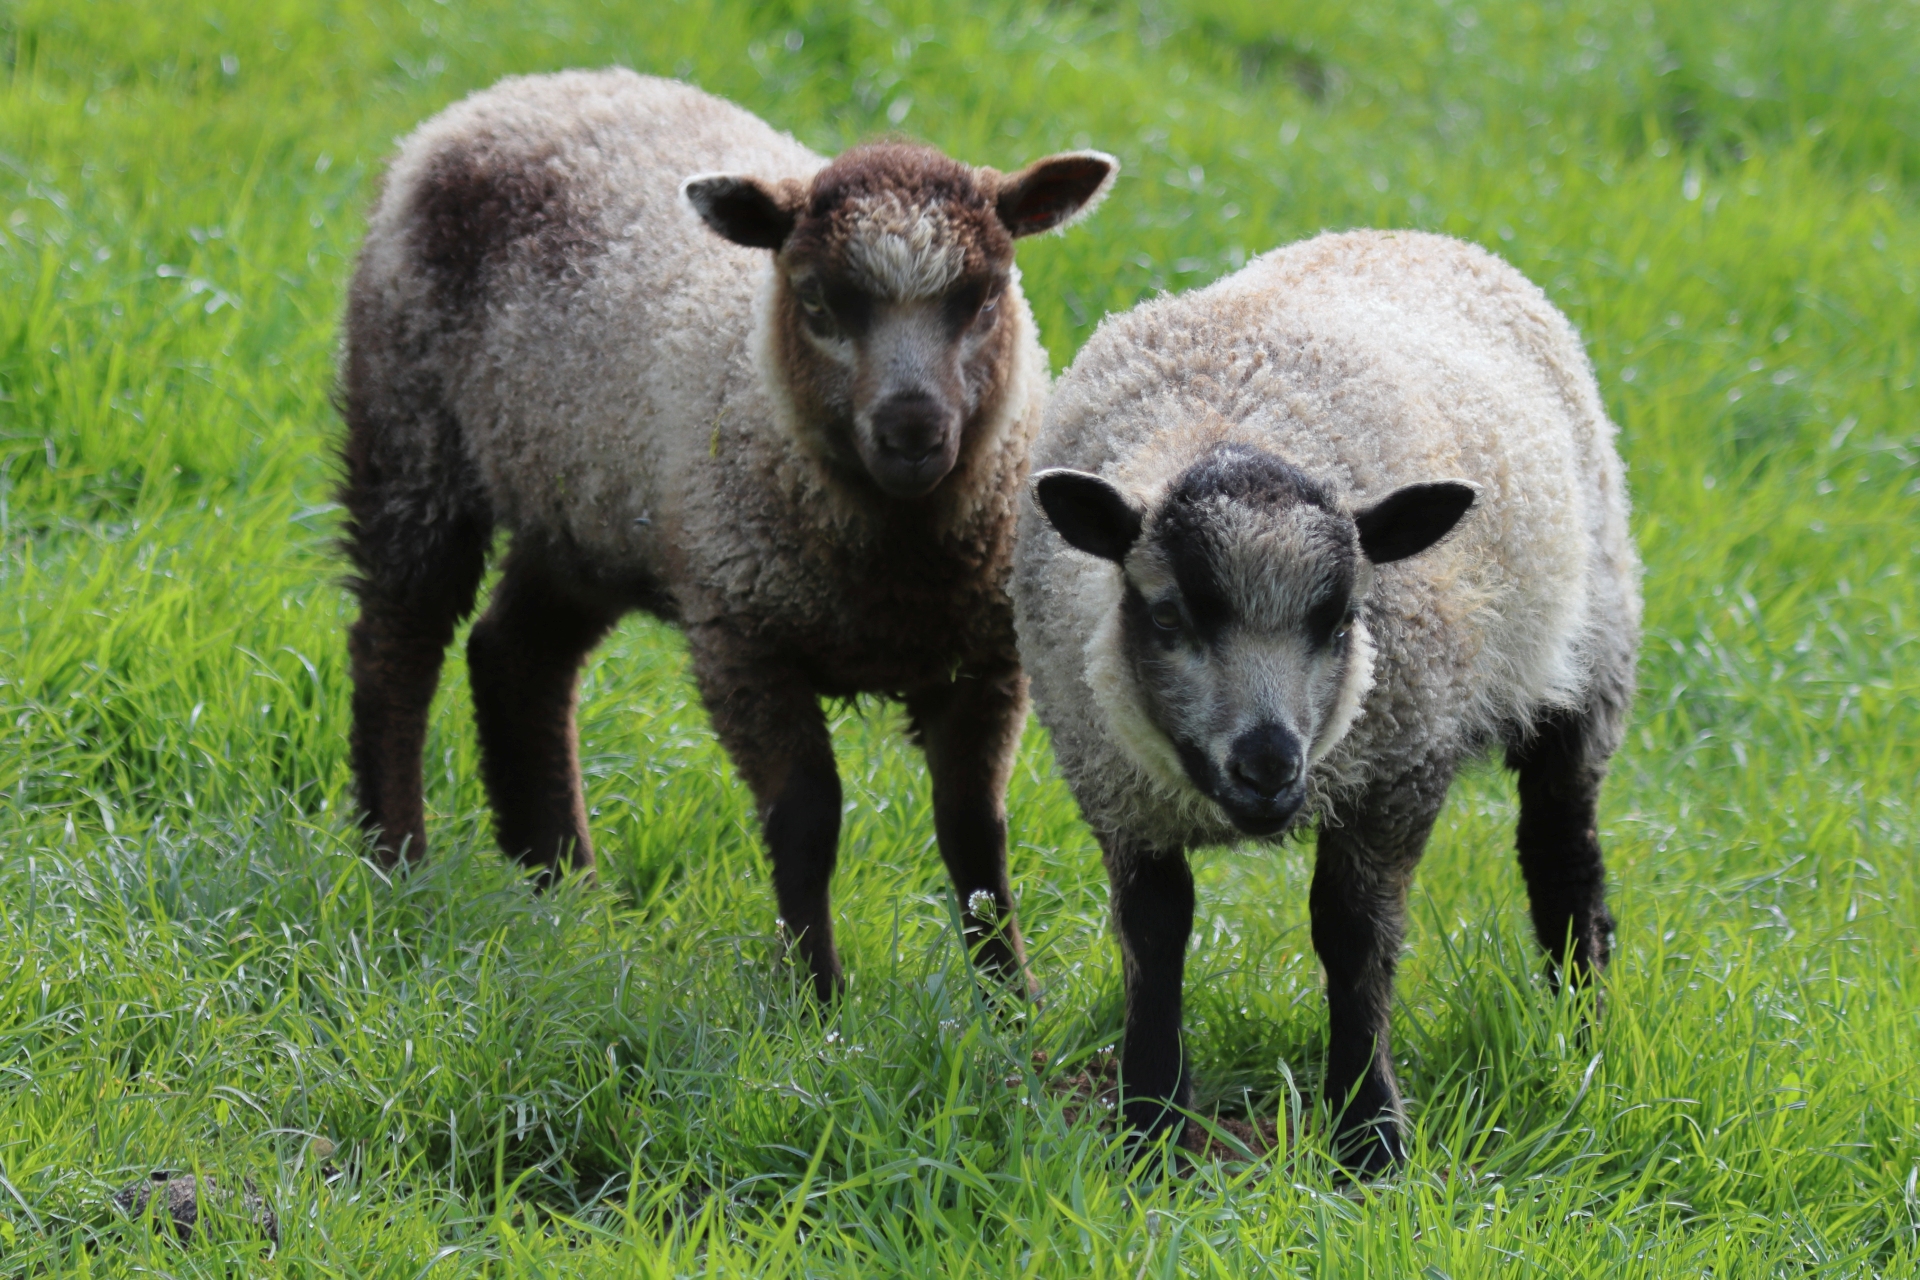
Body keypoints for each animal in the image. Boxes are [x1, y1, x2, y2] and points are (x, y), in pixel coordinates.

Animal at [338, 68, 1117, 1001]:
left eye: (985, 296)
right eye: (817, 299)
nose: (913, 432)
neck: (898, 566)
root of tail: (513, 90)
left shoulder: (987, 656)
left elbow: (974, 829)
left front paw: (1011, 999)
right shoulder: (742, 634)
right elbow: (807, 818)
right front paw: (816, 997)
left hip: (586, 508)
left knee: (515, 657)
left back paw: (563, 889)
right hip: (411, 430)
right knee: (397, 644)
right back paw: (397, 859)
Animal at [1011, 229, 1641, 1170]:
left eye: (1343, 618)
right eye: (1166, 614)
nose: (1268, 766)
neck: (1228, 418)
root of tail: (1415, 234)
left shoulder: (1397, 774)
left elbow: (1353, 940)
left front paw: (1369, 1136)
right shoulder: (1116, 786)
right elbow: (1154, 935)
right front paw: (1151, 1126)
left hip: (1588, 662)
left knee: (1562, 855)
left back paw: (1581, 1030)